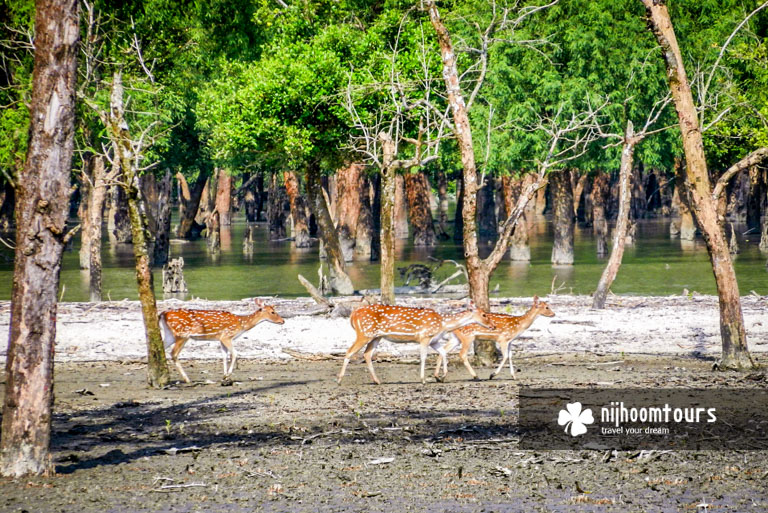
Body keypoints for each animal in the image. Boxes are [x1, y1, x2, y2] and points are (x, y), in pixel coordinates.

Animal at [336, 300, 492, 384]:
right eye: (484, 314)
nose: (492, 326)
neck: (443, 324)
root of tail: (353, 314)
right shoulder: (424, 336)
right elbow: (423, 357)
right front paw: (423, 379)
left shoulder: (434, 340)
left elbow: (443, 353)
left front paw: (441, 377)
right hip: (364, 333)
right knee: (349, 351)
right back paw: (339, 379)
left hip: (376, 337)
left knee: (367, 354)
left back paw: (377, 381)